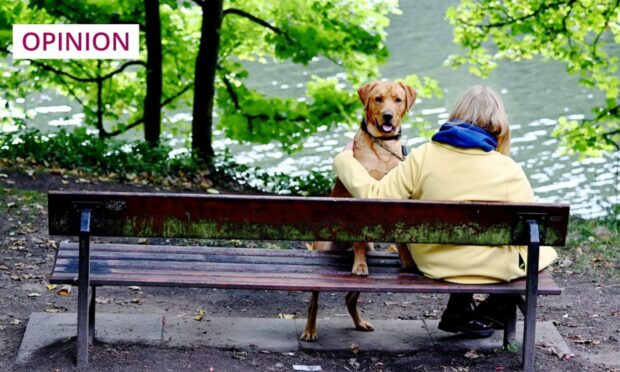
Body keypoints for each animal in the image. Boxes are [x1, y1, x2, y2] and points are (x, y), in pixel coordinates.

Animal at [300, 81, 416, 342]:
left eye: (398, 99)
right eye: (378, 99)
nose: (388, 116)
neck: (383, 146)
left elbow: (402, 238)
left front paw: (406, 260)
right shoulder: (360, 197)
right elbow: (360, 241)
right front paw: (360, 265)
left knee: (349, 297)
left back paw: (359, 322)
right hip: (321, 259)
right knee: (313, 302)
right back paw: (310, 330)